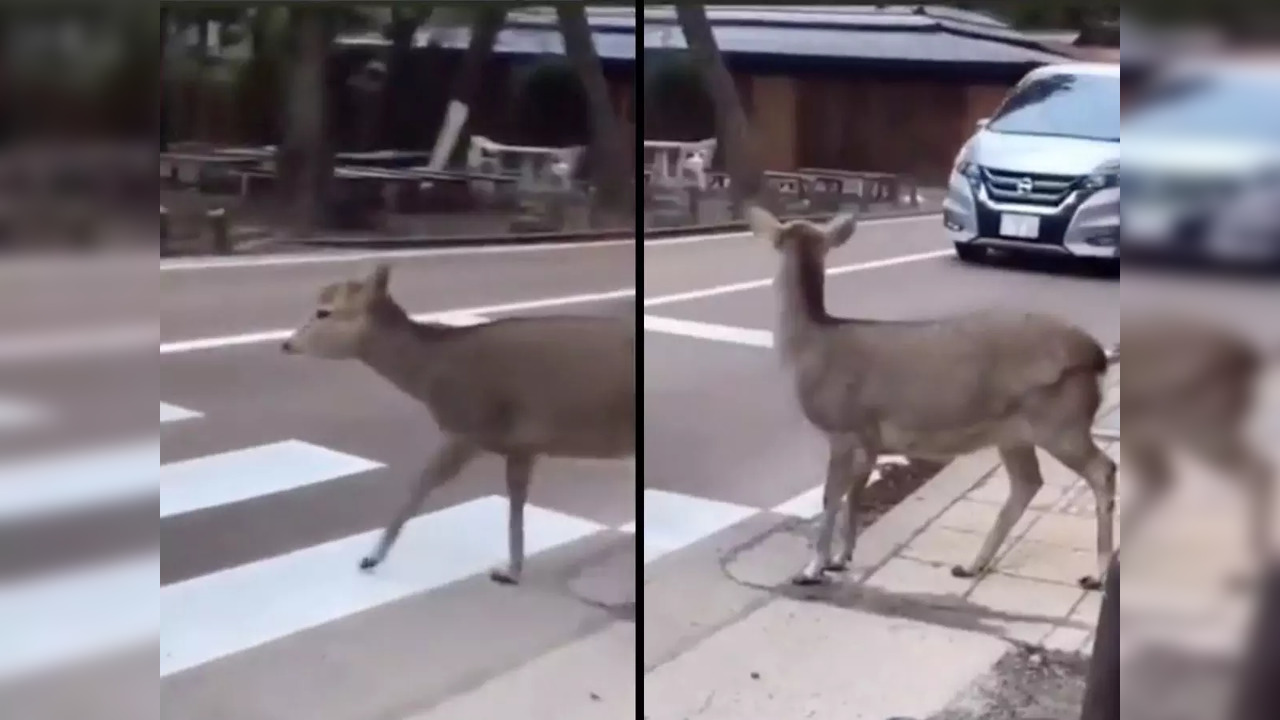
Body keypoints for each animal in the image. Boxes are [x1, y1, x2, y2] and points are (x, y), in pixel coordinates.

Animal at [284, 263, 634, 584]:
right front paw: (512, 569)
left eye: (324, 312)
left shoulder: (468, 425)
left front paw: (371, 557)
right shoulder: (520, 444)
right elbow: (516, 499)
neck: (431, 374)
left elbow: (422, 482)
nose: (287, 344)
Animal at [747, 204, 1116, 586]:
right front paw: (841, 558)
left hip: (1060, 420)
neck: (810, 346)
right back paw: (972, 565)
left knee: (1103, 469)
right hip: (1015, 431)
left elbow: (830, 497)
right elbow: (855, 494)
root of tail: (1096, 356)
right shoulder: (868, 438)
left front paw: (812, 568)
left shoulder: (842, 427)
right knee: (1028, 482)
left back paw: (1098, 573)